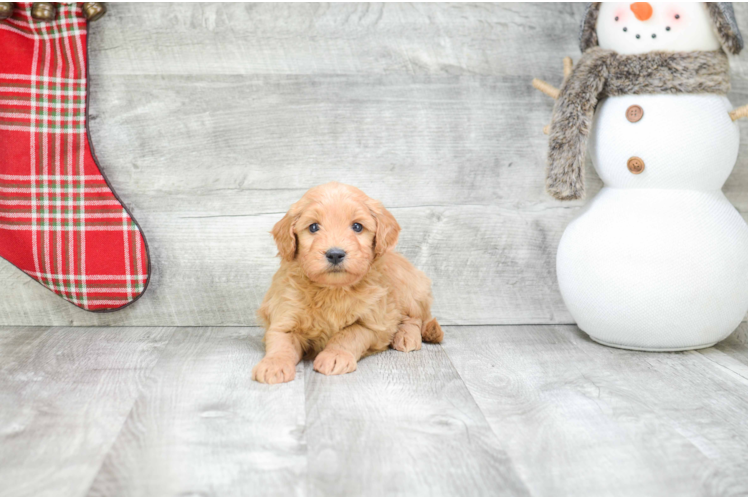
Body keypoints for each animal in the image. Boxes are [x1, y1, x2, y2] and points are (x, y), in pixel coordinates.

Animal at [254, 182, 442, 384]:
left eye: (357, 227)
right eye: (313, 227)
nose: (335, 254)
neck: (332, 290)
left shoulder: (373, 321)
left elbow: (348, 334)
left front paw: (335, 355)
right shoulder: (284, 315)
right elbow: (281, 343)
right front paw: (273, 364)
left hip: (409, 287)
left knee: (415, 318)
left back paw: (406, 337)